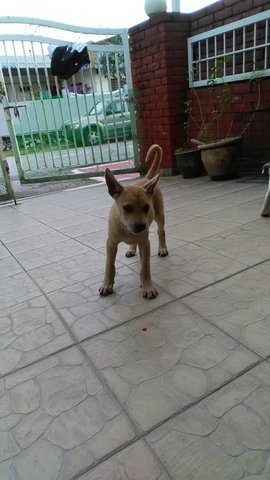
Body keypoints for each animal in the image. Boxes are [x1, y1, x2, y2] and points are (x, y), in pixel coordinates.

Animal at [98, 144, 167, 298]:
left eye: (146, 207)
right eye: (127, 208)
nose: (141, 226)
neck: (125, 228)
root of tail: (146, 179)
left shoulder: (145, 243)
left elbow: (145, 267)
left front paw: (147, 286)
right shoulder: (111, 244)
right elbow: (109, 265)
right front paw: (106, 284)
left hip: (159, 215)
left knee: (161, 231)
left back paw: (162, 248)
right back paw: (131, 249)